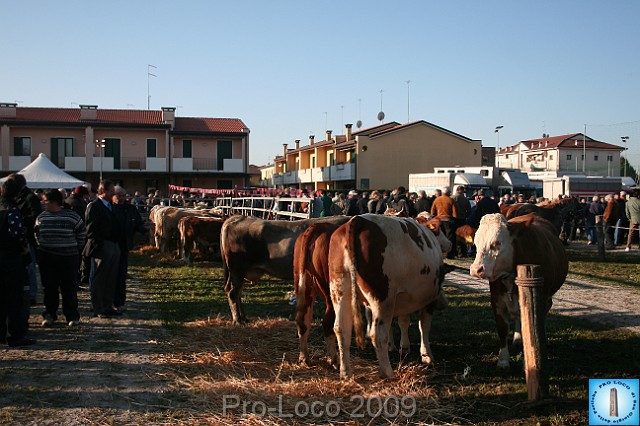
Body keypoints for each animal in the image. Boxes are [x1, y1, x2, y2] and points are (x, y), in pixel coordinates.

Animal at [221, 215, 350, 324]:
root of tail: (236, 218)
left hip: (239, 272)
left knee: (237, 292)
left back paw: (244, 318)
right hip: (237, 269)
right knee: (232, 292)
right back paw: (238, 320)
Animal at [328, 215, 452, 378]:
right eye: (439, 229)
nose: (450, 244)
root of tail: (357, 221)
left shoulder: (404, 297)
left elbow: (403, 322)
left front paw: (404, 347)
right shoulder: (429, 299)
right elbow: (424, 326)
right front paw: (427, 356)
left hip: (340, 290)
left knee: (341, 329)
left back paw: (346, 373)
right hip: (382, 299)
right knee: (377, 334)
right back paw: (387, 372)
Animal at [468, 215, 568, 368]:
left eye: (497, 243)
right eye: (476, 243)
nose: (475, 269)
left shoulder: (542, 297)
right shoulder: (497, 300)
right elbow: (503, 329)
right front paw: (503, 360)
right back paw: (517, 338)